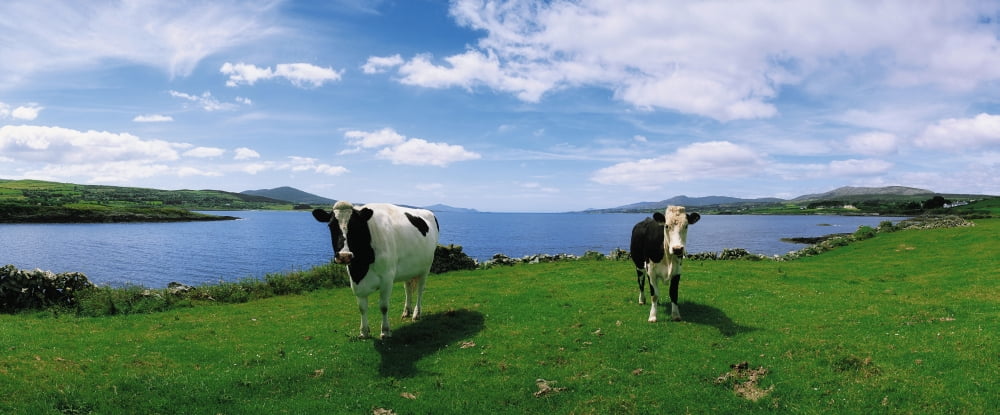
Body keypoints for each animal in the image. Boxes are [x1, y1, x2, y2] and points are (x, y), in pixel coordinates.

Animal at [312, 201, 439, 339]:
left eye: (356, 226)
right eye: (331, 226)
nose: (344, 255)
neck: (361, 267)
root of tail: (428, 212)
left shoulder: (387, 278)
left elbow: (383, 306)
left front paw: (385, 331)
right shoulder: (355, 280)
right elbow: (362, 307)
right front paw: (364, 332)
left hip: (426, 267)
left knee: (420, 290)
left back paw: (416, 313)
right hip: (408, 268)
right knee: (408, 288)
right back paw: (406, 311)